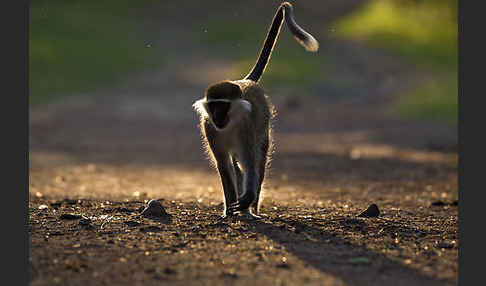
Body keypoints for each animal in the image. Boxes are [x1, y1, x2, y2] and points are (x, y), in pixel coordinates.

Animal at [192, 1, 320, 219]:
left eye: (223, 106)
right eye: (214, 105)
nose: (217, 115)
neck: (230, 122)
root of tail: (246, 81)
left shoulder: (246, 126)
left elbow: (250, 162)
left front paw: (245, 202)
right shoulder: (210, 128)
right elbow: (224, 166)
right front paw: (229, 210)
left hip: (262, 128)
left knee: (258, 161)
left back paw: (252, 208)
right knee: (236, 166)